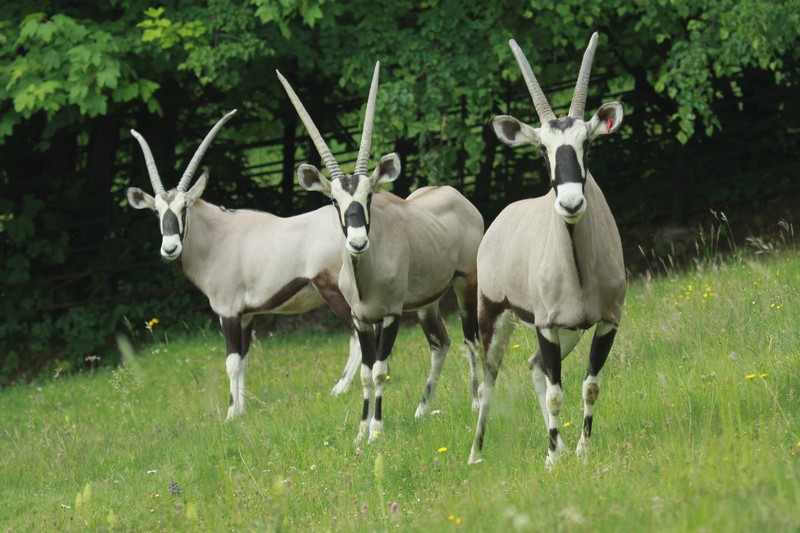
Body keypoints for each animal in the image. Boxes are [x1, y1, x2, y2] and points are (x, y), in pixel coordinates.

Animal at [126, 109, 363, 421]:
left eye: (183, 208)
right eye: (157, 212)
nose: (170, 247)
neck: (217, 238)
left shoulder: (228, 312)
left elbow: (232, 362)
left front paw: (230, 415)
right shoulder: (247, 315)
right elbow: (244, 360)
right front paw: (240, 409)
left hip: (334, 290)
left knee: (356, 333)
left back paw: (340, 388)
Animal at [278, 62, 484, 442]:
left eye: (369, 196)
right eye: (334, 200)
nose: (358, 242)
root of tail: (456, 195)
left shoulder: (390, 316)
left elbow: (379, 370)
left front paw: (376, 430)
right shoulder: (362, 318)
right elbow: (365, 370)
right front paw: (361, 431)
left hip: (466, 283)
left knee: (470, 339)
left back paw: (477, 400)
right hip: (427, 302)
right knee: (441, 342)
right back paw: (421, 409)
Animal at [468, 33, 627, 467]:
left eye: (587, 143)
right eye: (542, 149)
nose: (570, 203)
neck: (577, 267)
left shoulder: (605, 322)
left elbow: (590, 386)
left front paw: (581, 450)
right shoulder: (545, 325)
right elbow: (557, 394)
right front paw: (553, 459)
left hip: (567, 334)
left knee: (535, 366)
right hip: (494, 319)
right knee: (488, 382)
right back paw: (476, 454)